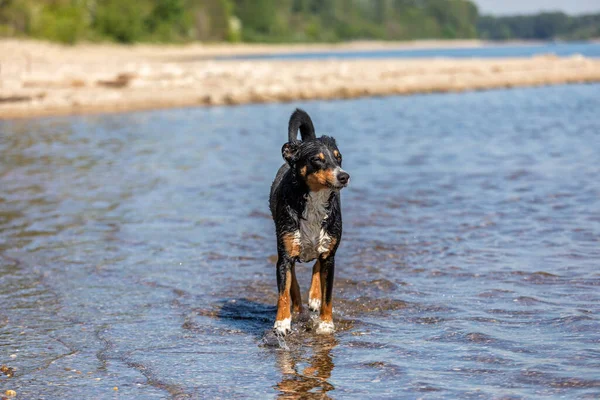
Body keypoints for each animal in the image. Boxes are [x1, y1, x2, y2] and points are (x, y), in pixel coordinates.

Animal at [270, 108, 350, 336]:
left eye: (339, 158)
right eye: (317, 159)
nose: (344, 176)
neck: (314, 201)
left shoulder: (330, 256)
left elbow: (328, 296)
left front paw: (325, 323)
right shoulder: (284, 255)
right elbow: (283, 293)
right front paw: (282, 322)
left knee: (317, 266)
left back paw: (314, 297)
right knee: (293, 281)